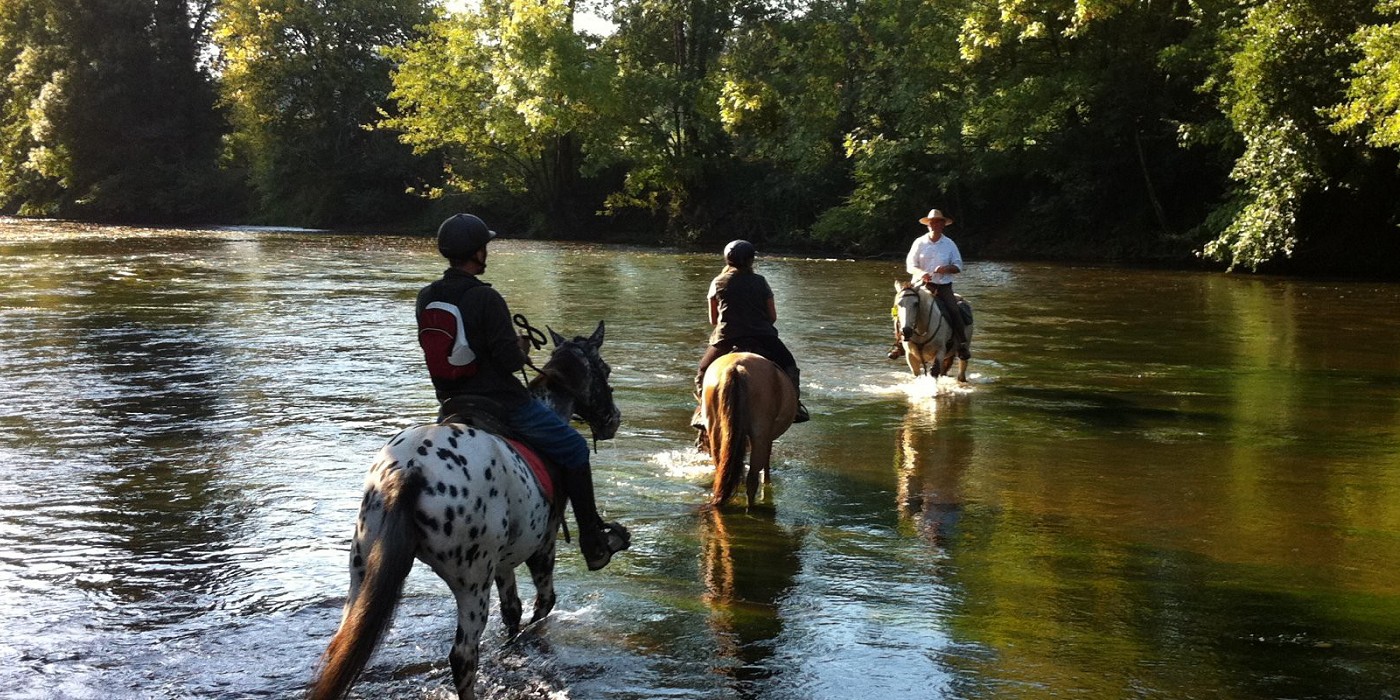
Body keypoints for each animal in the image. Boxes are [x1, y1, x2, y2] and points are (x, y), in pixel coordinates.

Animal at [309, 320, 621, 700]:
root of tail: (411, 470)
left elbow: (513, 610)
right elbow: (542, 606)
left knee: (341, 643)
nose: (613, 419)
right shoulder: (542, 547)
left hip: (362, 571)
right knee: (463, 657)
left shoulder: (504, 561)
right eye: (604, 369)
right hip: (472, 584)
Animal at [700, 350, 800, 509]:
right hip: (759, 433)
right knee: (752, 479)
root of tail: (735, 366)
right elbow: (766, 460)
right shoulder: (767, 436)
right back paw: (751, 508)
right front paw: (767, 481)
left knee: (721, 465)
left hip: (715, 430)